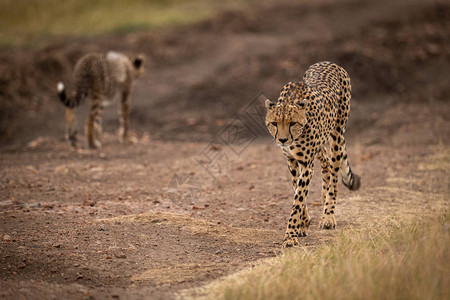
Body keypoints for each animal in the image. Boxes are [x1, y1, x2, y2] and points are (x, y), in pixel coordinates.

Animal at [266, 61, 360, 248]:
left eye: (292, 123)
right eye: (274, 123)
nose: (282, 139)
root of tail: (328, 62)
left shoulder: (306, 163)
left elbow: (298, 199)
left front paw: (290, 235)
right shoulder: (291, 160)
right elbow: (296, 189)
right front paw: (303, 224)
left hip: (337, 135)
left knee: (334, 172)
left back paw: (328, 215)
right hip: (321, 144)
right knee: (325, 160)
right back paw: (323, 197)